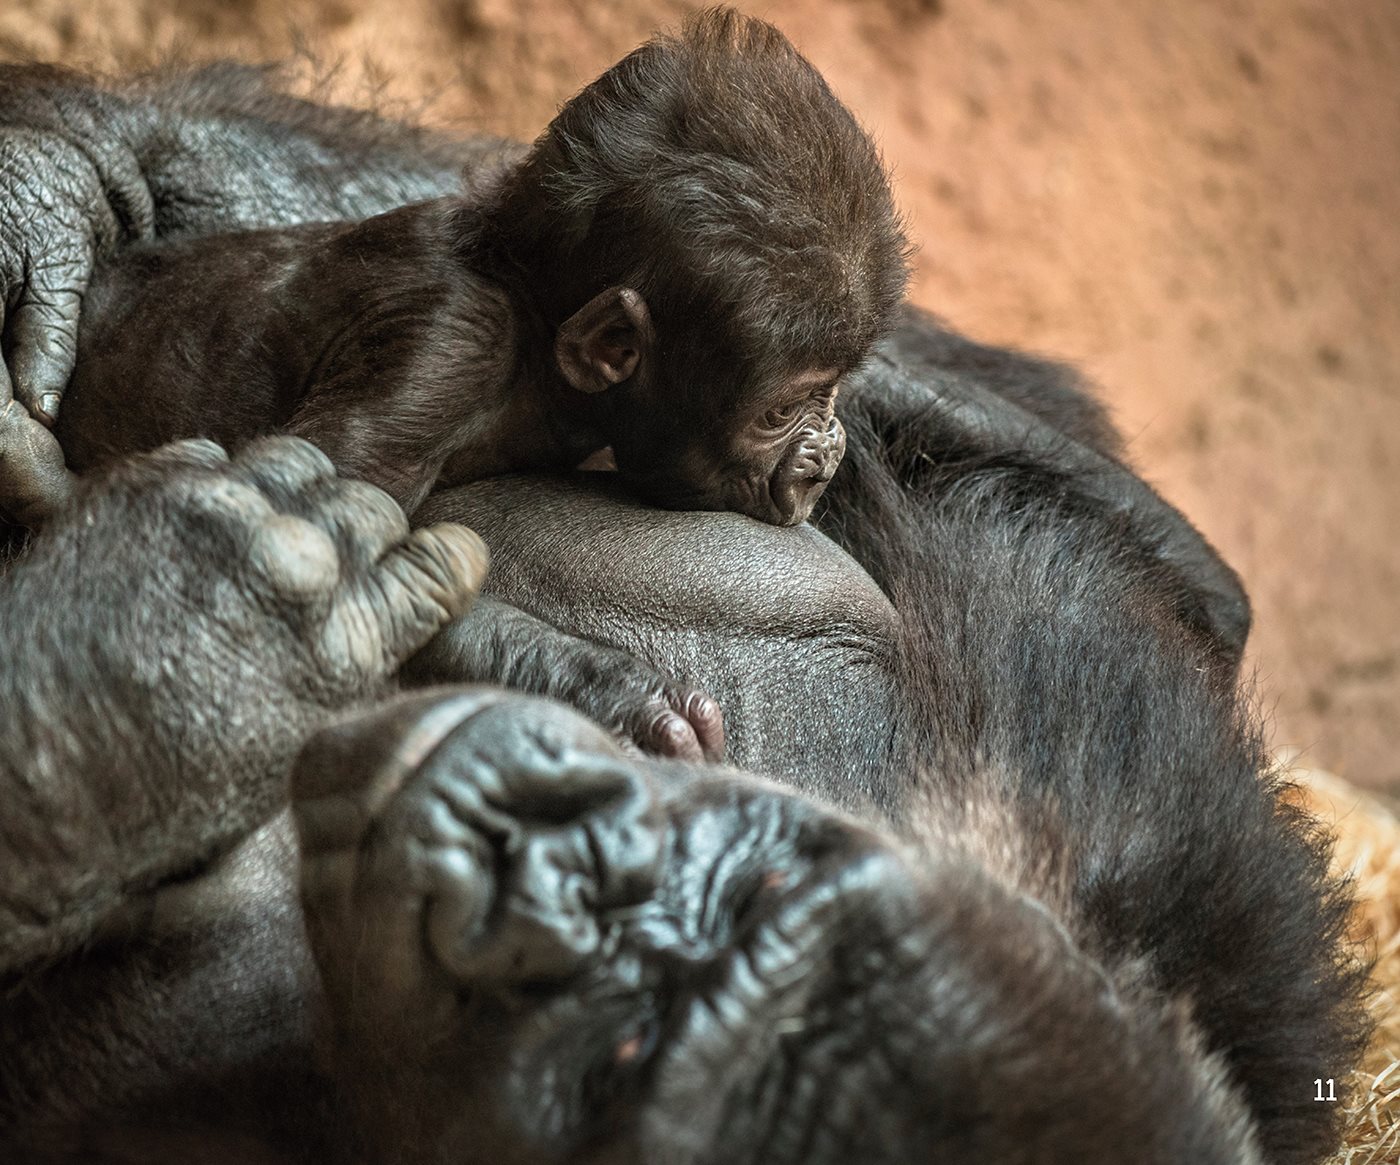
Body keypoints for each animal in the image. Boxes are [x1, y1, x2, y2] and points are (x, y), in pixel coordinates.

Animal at [0, 61, 1360, 1165]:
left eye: (619, 1068)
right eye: (785, 402)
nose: (538, 856)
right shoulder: (452, 336)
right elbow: (358, 499)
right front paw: (176, 637)